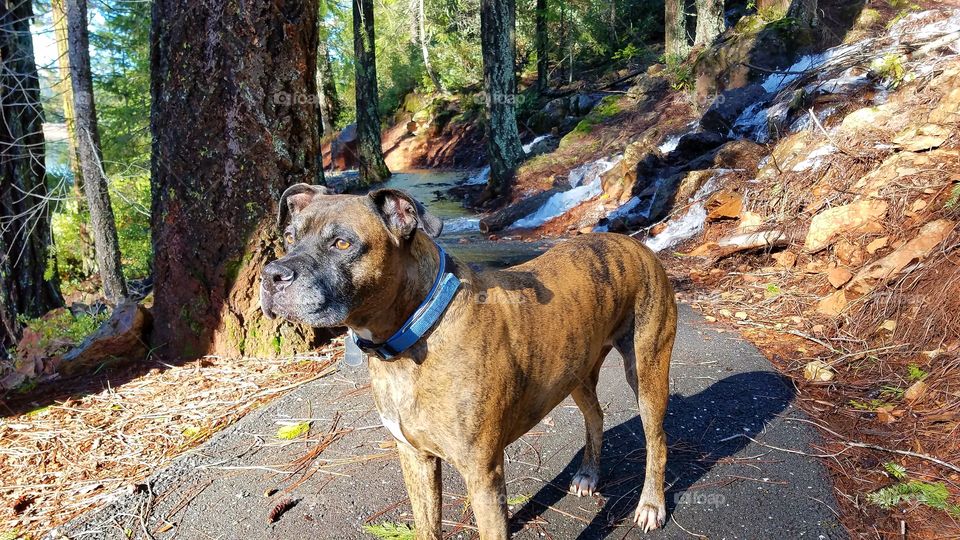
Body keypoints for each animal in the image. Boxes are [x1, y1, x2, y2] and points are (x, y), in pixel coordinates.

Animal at [262, 185, 680, 536]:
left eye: (342, 242)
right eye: (289, 237)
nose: (271, 274)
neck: (415, 333)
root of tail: (635, 244)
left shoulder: (483, 475)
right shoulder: (416, 459)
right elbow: (427, 525)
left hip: (647, 370)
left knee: (657, 439)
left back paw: (650, 505)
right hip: (575, 370)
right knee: (595, 415)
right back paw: (589, 475)